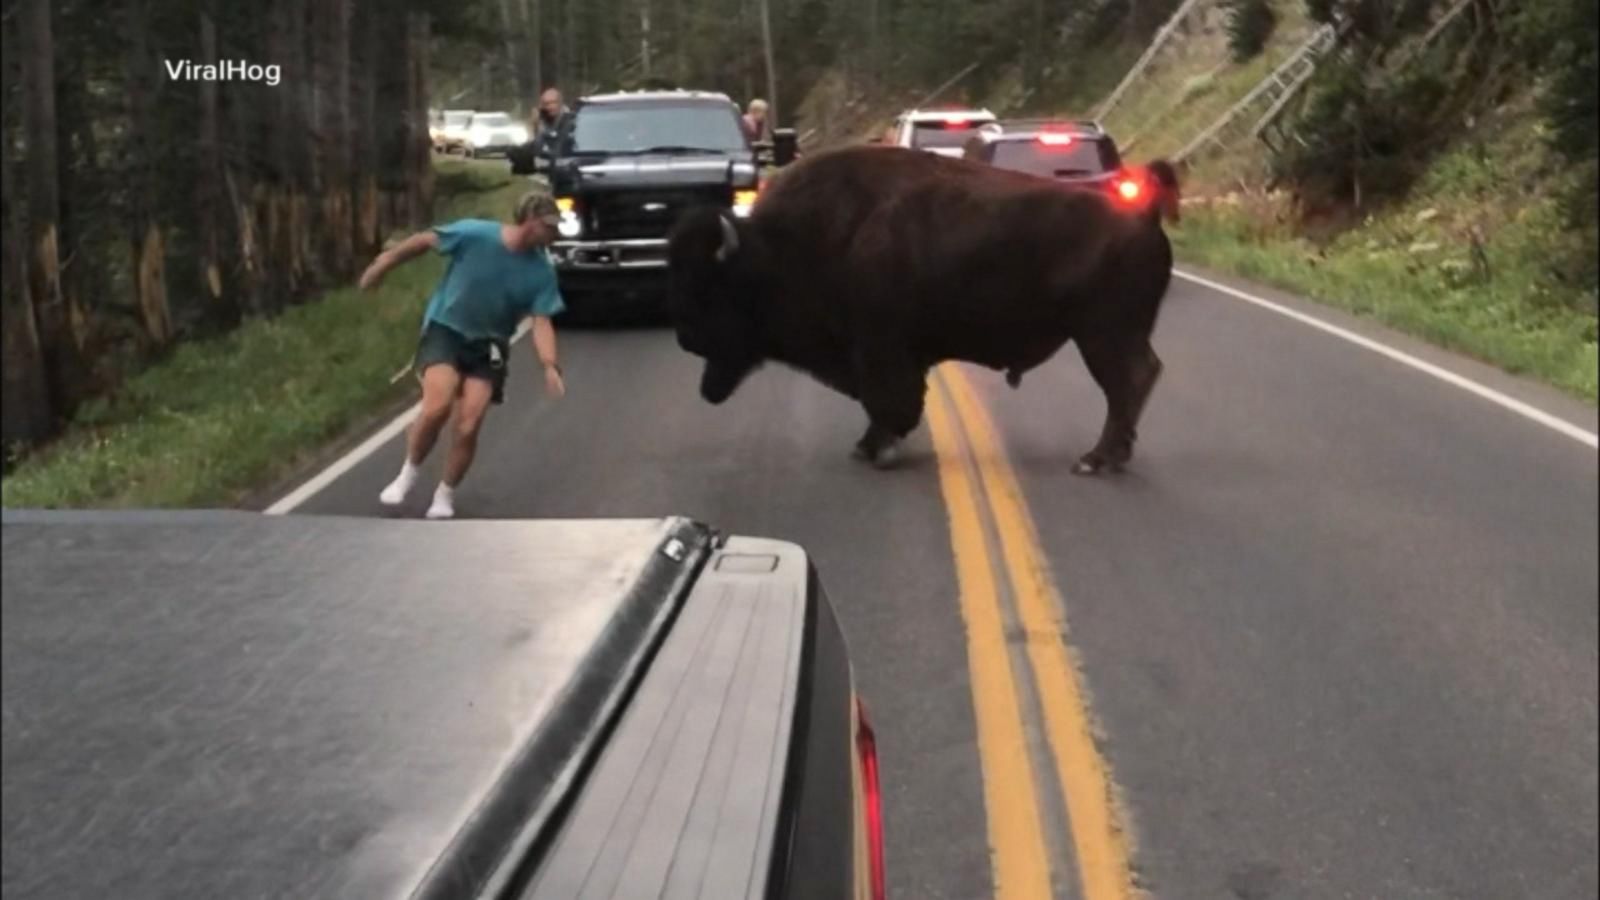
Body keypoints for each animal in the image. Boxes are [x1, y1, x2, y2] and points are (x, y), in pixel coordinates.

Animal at [662, 143, 1177, 474]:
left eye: (713, 287)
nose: (686, 339)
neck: (780, 247)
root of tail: (1143, 215)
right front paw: (868, 446)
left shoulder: (878, 349)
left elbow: (889, 399)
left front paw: (877, 449)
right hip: (1111, 334)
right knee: (1136, 380)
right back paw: (1112, 454)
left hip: (1102, 334)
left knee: (1128, 382)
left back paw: (1096, 459)